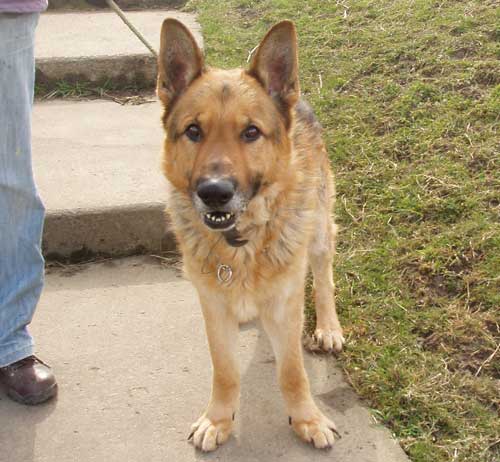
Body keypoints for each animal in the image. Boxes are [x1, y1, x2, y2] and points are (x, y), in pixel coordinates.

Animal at [158, 19, 346, 452]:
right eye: (193, 131)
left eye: (251, 132)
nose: (214, 192)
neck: (240, 242)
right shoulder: (213, 308)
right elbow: (224, 370)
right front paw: (218, 418)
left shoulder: (285, 305)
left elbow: (292, 371)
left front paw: (306, 418)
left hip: (318, 234)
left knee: (323, 279)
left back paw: (328, 326)